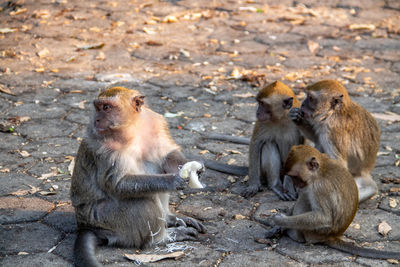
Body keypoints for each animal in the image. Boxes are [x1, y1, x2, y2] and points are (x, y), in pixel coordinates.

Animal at [70, 88, 205, 267]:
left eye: (106, 107)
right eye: (98, 107)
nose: (97, 120)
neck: (132, 127)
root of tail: (87, 226)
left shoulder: (156, 122)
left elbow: (166, 156)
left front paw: (192, 167)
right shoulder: (104, 145)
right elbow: (119, 184)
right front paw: (173, 180)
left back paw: (170, 219)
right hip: (105, 218)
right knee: (143, 200)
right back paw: (163, 238)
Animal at [266, 146, 400, 260]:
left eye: (295, 177)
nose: (295, 185)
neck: (321, 169)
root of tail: (332, 236)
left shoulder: (319, 188)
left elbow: (324, 217)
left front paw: (280, 221)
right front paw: (278, 226)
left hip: (313, 233)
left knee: (305, 199)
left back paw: (292, 233)